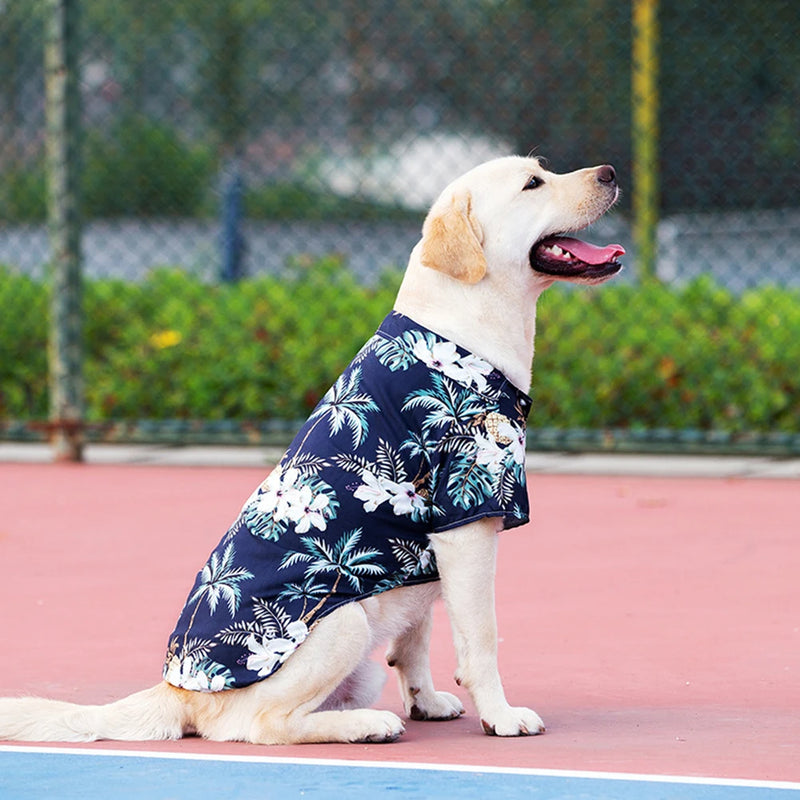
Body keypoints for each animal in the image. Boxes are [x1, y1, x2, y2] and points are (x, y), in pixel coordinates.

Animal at [0, 155, 624, 744]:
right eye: (533, 184)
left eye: (542, 171)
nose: (611, 172)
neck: (458, 334)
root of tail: (179, 692)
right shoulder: (467, 523)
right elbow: (482, 639)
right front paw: (501, 716)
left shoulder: (426, 553)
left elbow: (417, 641)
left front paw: (425, 701)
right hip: (342, 622)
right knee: (264, 725)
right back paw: (368, 726)